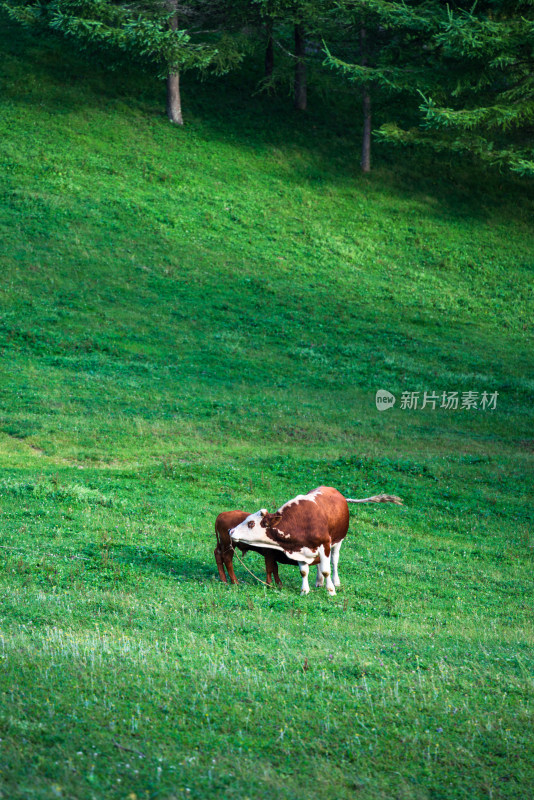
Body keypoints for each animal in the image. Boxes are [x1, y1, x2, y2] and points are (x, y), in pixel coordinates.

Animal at [229, 484, 402, 596]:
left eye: (251, 523)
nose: (231, 531)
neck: (300, 522)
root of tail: (335, 491)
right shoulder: (299, 548)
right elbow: (304, 571)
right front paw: (304, 590)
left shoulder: (324, 544)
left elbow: (327, 570)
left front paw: (331, 591)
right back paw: (319, 581)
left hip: (338, 541)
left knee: (334, 561)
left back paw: (335, 581)